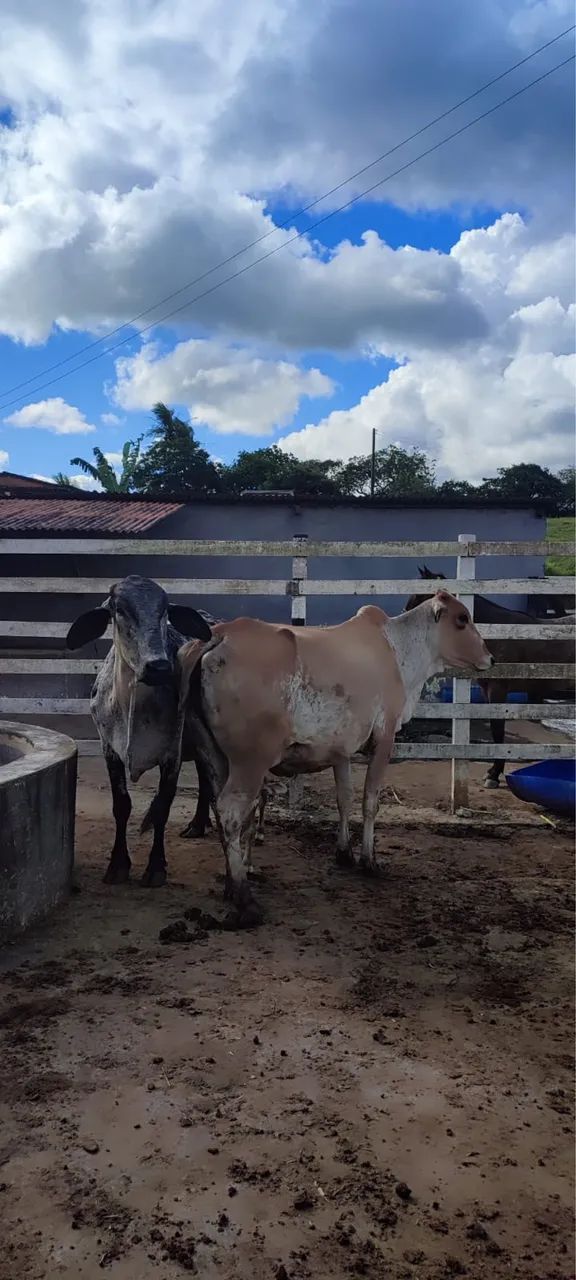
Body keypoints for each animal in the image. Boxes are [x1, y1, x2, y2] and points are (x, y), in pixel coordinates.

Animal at [66, 575, 212, 886]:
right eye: (119, 610)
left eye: (165, 609)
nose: (158, 666)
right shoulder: (109, 750)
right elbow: (121, 805)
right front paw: (118, 865)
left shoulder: (172, 755)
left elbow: (161, 808)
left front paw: (156, 868)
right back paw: (198, 823)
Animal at [177, 591, 493, 926]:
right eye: (462, 619)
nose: (490, 657)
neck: (398, 650)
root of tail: (219, 634)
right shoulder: (385, 740)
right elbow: (369, 802)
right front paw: (369, 860)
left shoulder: (341, 752)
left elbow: (345, 798)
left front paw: (344, 853)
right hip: (251, 762)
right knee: (231, 811)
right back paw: (244, 899)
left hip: (213, 755)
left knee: (221, 809)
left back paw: (230, 884)